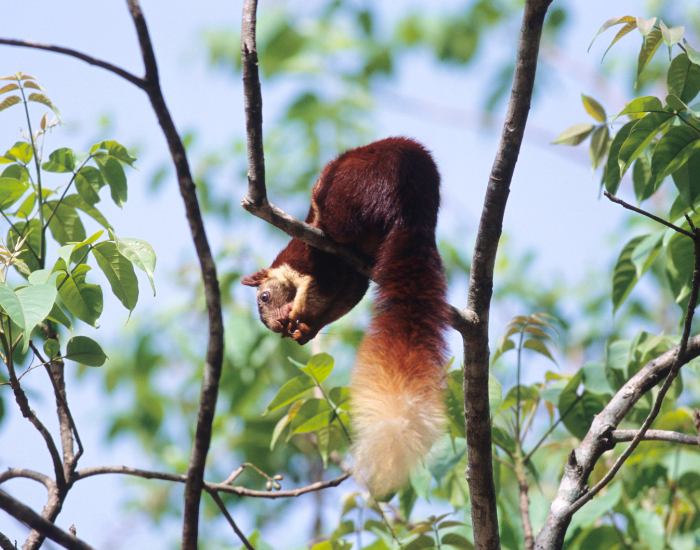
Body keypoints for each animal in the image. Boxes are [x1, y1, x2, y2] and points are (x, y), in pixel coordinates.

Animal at [242, 137, 450, 496]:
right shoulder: (352, 277)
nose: (278, 324)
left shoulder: (316, 260)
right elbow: (342, 298)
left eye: (264, 298)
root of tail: (411, 211)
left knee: (336, 225)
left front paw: (299, 312)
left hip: (348, 194)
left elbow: (319, 285)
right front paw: (306, 330)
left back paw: (325, 225)